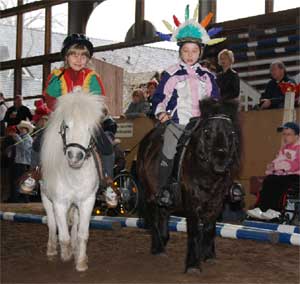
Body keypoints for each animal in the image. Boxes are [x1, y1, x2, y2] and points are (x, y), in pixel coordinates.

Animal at [40, 90, 105, 272]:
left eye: (90, 128)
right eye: (66, 126)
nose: (75, 156)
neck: (74, 174)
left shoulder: (87, 201)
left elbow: (82, 234)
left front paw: (81, 261)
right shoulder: (59, 203)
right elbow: (63, 235)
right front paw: (66, 254)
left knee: (74, 225)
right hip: (45, 198)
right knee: (52, 224)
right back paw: (52, 249)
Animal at [137, 97, 241, 272]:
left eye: (231, 133)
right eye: (207, 132)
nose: (220, 163)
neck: (207, 173)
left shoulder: (216, 202)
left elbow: (209, 229)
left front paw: (208, 256)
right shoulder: (192, 203)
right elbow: (193, 231)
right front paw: (193, 265)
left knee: (163, 214)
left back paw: (163, 240)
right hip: (150, 193)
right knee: (153, 217)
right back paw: (158, 248)